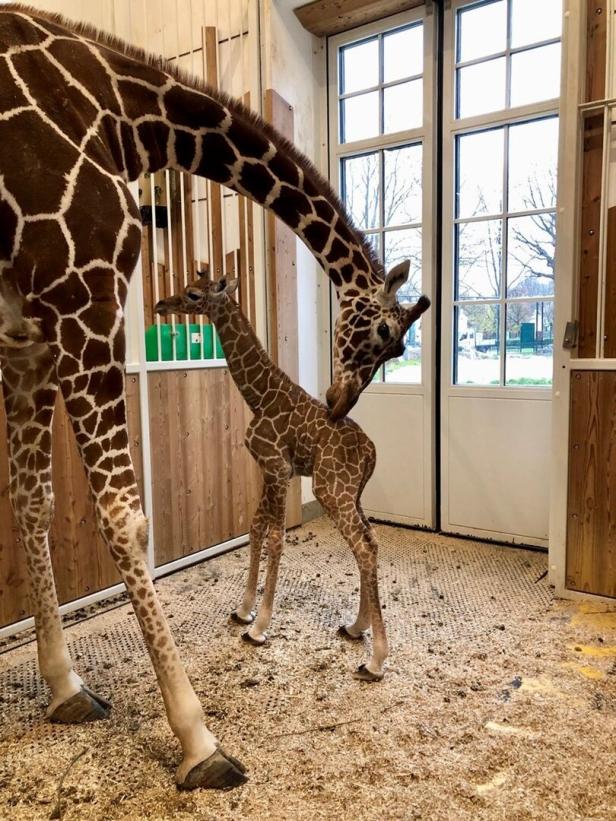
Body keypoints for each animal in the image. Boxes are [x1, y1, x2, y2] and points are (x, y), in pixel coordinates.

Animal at [156, 270, 430, 680]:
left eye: (191, 294)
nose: (161, 304)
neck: (258, 396)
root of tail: (371, 455)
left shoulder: (278, 466)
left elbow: (275, 538)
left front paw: (259, 627)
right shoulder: (269, 468)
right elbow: (256, 527)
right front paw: (243, 610)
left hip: (330, 488)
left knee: (364, 545)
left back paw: (376, 660)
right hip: (350, 492)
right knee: (371, 539)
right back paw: (356, 627)